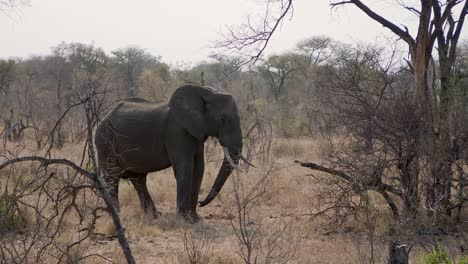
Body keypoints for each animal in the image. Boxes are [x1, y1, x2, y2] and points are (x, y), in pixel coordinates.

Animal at [93, 84, 250, 223]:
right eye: (223, 119)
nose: (201, 202)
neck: (206, 92)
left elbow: (199, 168)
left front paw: (195, 219)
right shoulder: (176, 132)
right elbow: (185, 167)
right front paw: (185, 220)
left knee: (138, 179)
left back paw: (154, 216)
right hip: (106, 143)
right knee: (113, 177)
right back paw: (116, 214)